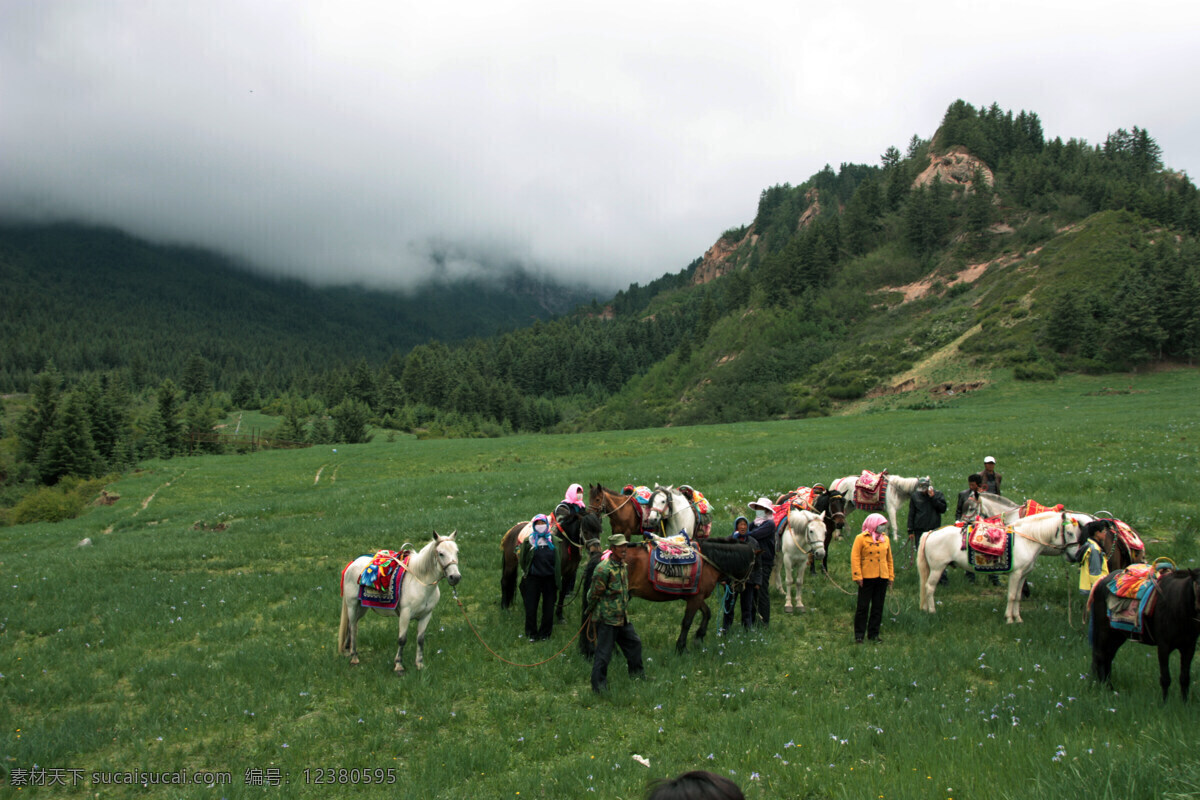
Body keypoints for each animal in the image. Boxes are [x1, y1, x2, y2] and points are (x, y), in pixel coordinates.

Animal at [345, 532, 465, 676]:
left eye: (457, 552)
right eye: (441, 553)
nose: (455, 577)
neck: (420, 583)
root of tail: (353, 562)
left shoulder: (426, 615)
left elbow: (420, 639)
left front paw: (419, 664)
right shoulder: (405, 614)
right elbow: (402, 639)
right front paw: (399, 666)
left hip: (362, 608)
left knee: (353, 627)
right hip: (352, 605)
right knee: (353, 627)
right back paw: (354, 658)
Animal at [578, 537, 753, 657]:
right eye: (753, 565)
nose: (742, 587)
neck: (708, 562)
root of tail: (602, 557)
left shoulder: (696, 597)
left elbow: (707, 613)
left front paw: (699, 637)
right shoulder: (695, 599)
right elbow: (687, 622)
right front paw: (681, 647)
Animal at [916, 513, 1089, 623]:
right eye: (1069, 533)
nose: (1075, 556)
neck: (1027, 539)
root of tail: (930, 532)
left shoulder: (1023, 575)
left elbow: (1018, 597)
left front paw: (1018, 618)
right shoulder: (1015, 574)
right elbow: (1011, 596)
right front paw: (1009, 619)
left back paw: (925, 609)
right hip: (938, 568)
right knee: (929, 587)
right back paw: (932, 611)